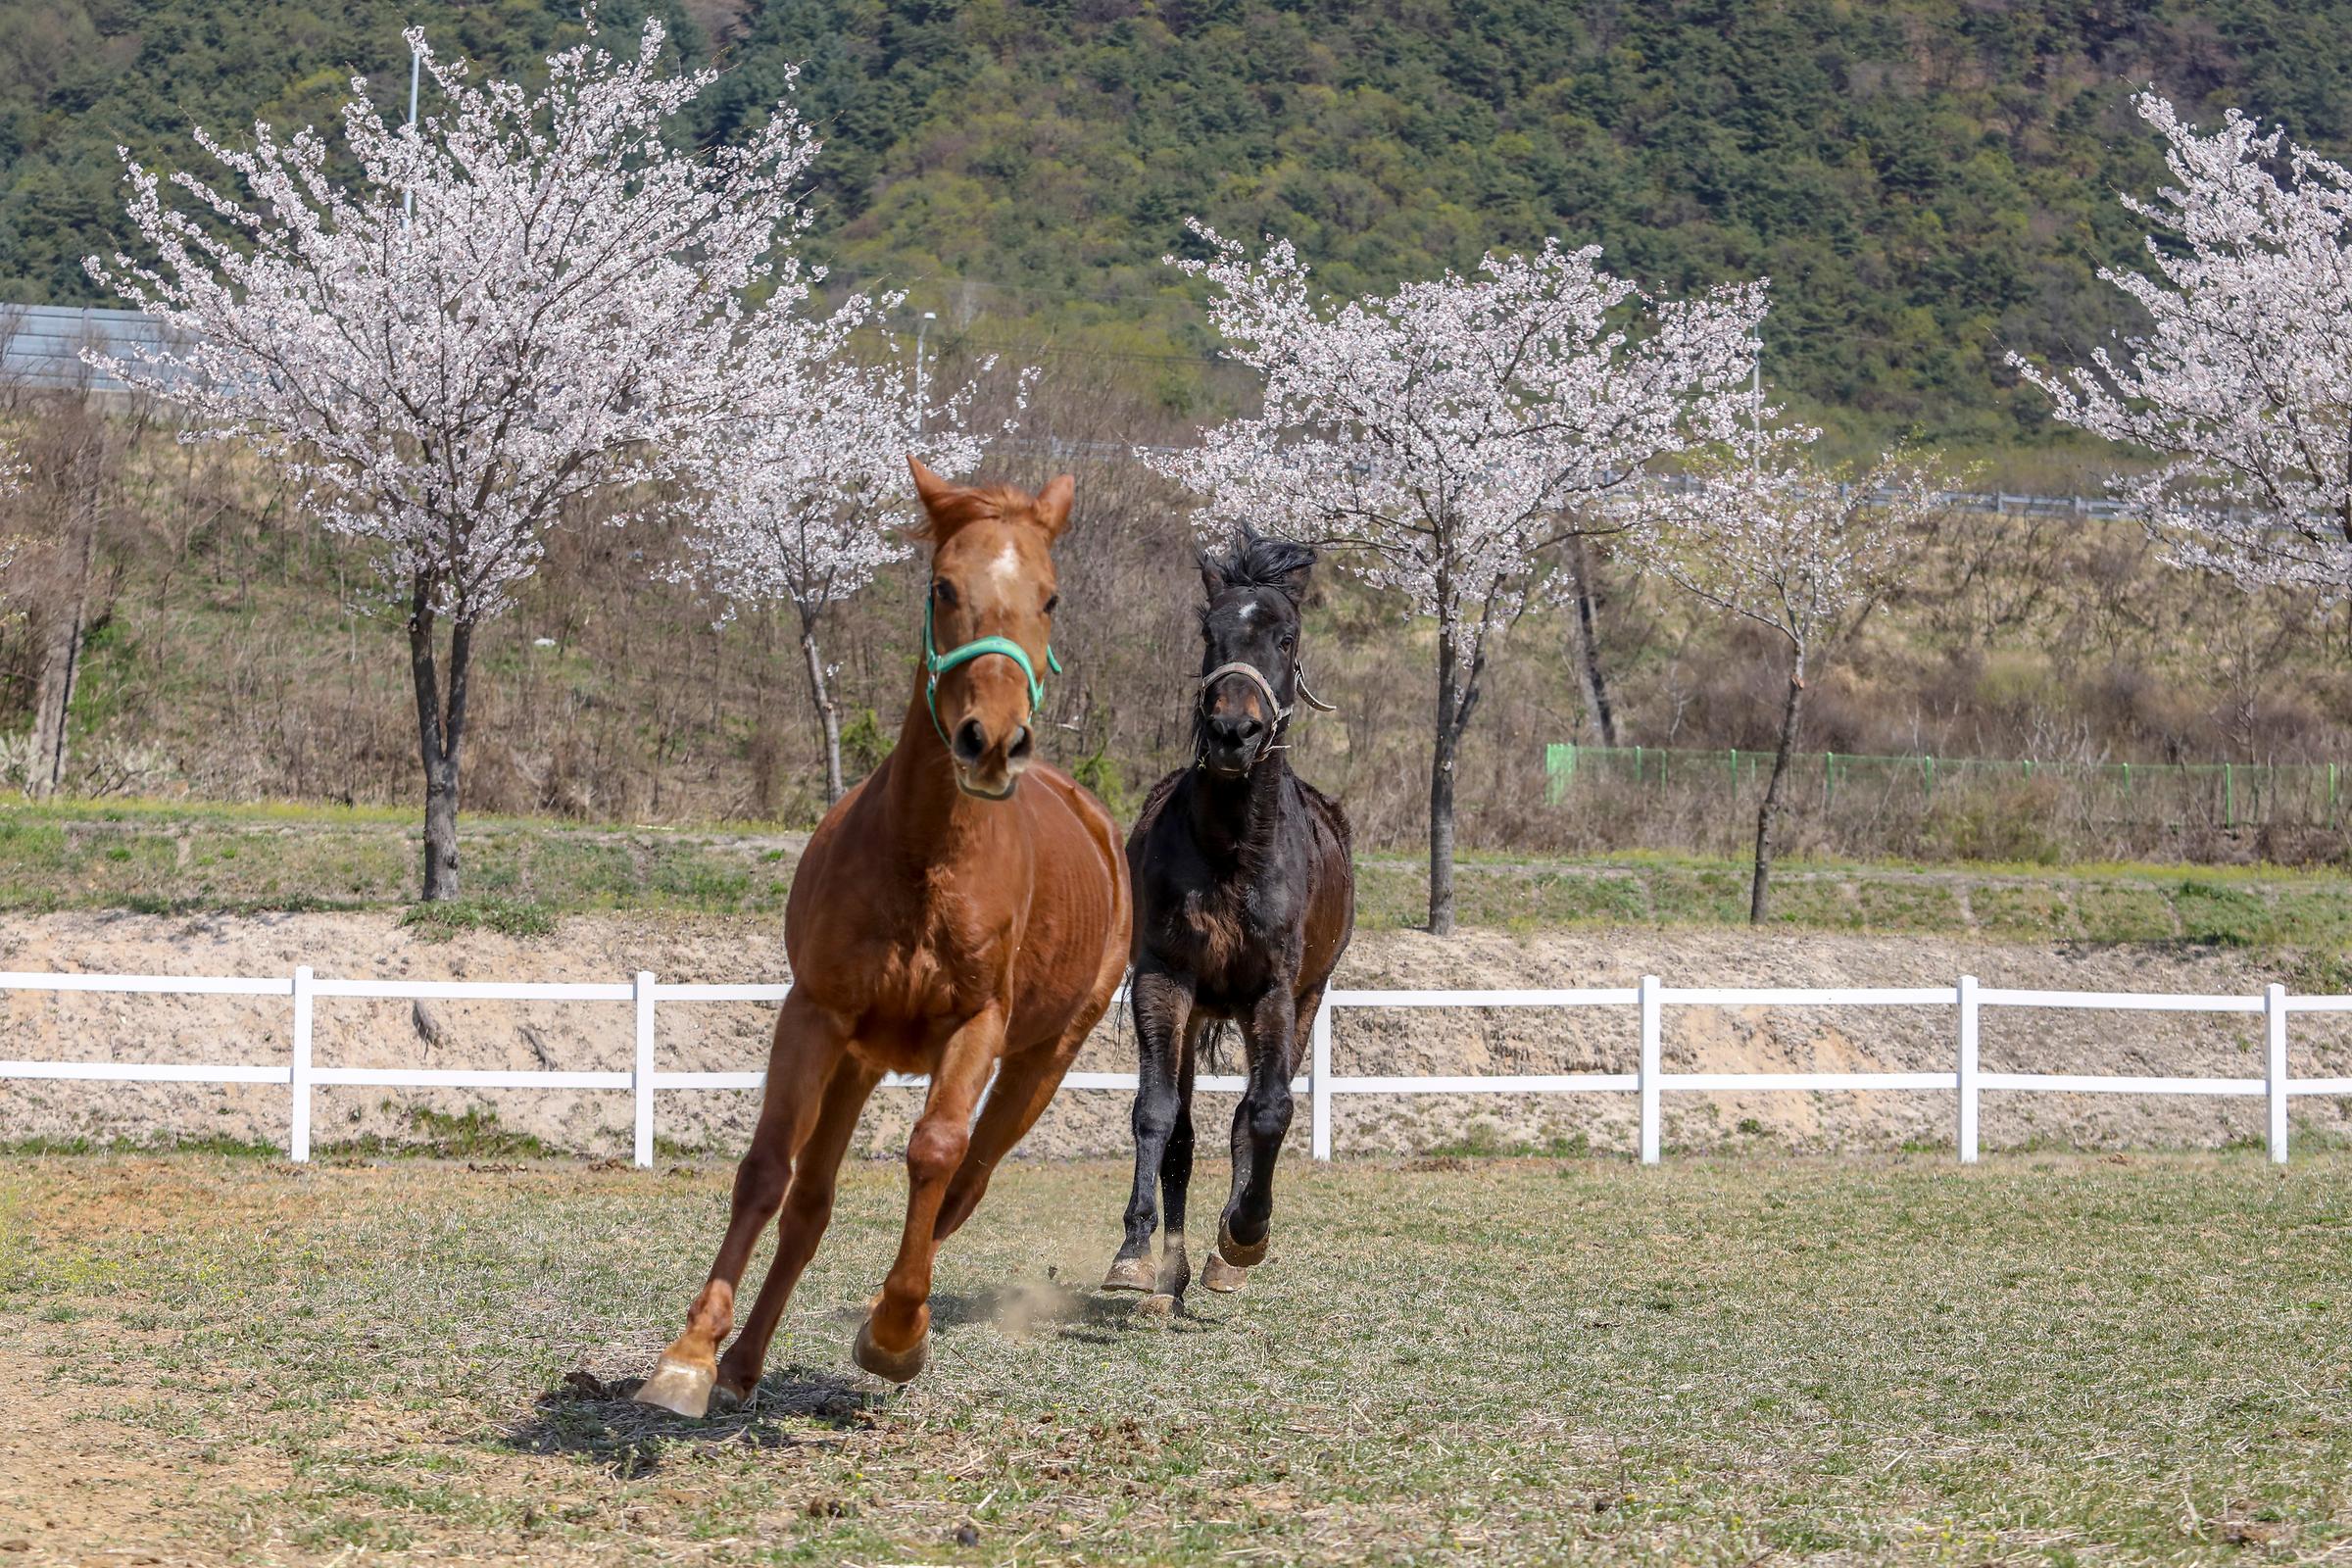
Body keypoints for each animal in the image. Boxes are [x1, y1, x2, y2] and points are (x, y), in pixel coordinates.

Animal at [635, 461, 1129, 1419]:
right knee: (812, 1203)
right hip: (860, 1060)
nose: (992, 742)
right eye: (943, 588)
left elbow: (934, 1153)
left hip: (1042, 1061)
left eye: (1050, 597)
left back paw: (890, 1317)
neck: (927, 856)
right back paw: (743, 1360)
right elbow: (769, 1173)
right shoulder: (817, 1015)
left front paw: (897, 1333)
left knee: (967, 1177)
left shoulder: (978, 1025)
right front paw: (691, 1354)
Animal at [1105, 533, 1364, 1306]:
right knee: (1183, 1131)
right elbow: (1158, 1114)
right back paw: (1173, 1271)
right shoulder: (1165, 982)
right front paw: (1136, 1253)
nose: (1232, 732)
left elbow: (1268, 1112)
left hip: (1300, 1001)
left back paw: (1224, 1254)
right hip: (1194, 1013)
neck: (1233, 852)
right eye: (1209, 634)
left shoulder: (1273, 993)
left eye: (1287, 636)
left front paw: (1245, 1235)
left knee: (1252, 1115)